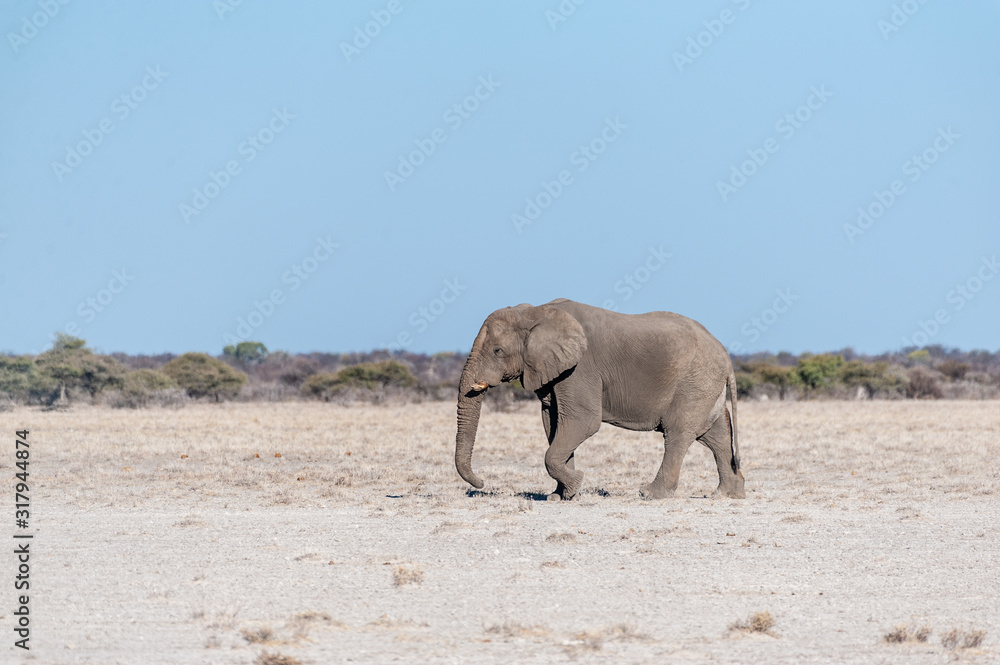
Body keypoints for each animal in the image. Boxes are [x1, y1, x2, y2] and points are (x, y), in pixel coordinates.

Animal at [455, 299, 745, 501]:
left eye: (497, 351)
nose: (482, 483)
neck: (537, 311)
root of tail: (725, 354)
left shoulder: (581, 369)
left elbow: (582, 422)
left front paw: (575, 484)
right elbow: (553, 423)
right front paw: (561, 496)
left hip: (694, 382)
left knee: (677, 434)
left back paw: (650, 494)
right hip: (704, 385)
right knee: (717, 435)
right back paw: (727, 494)